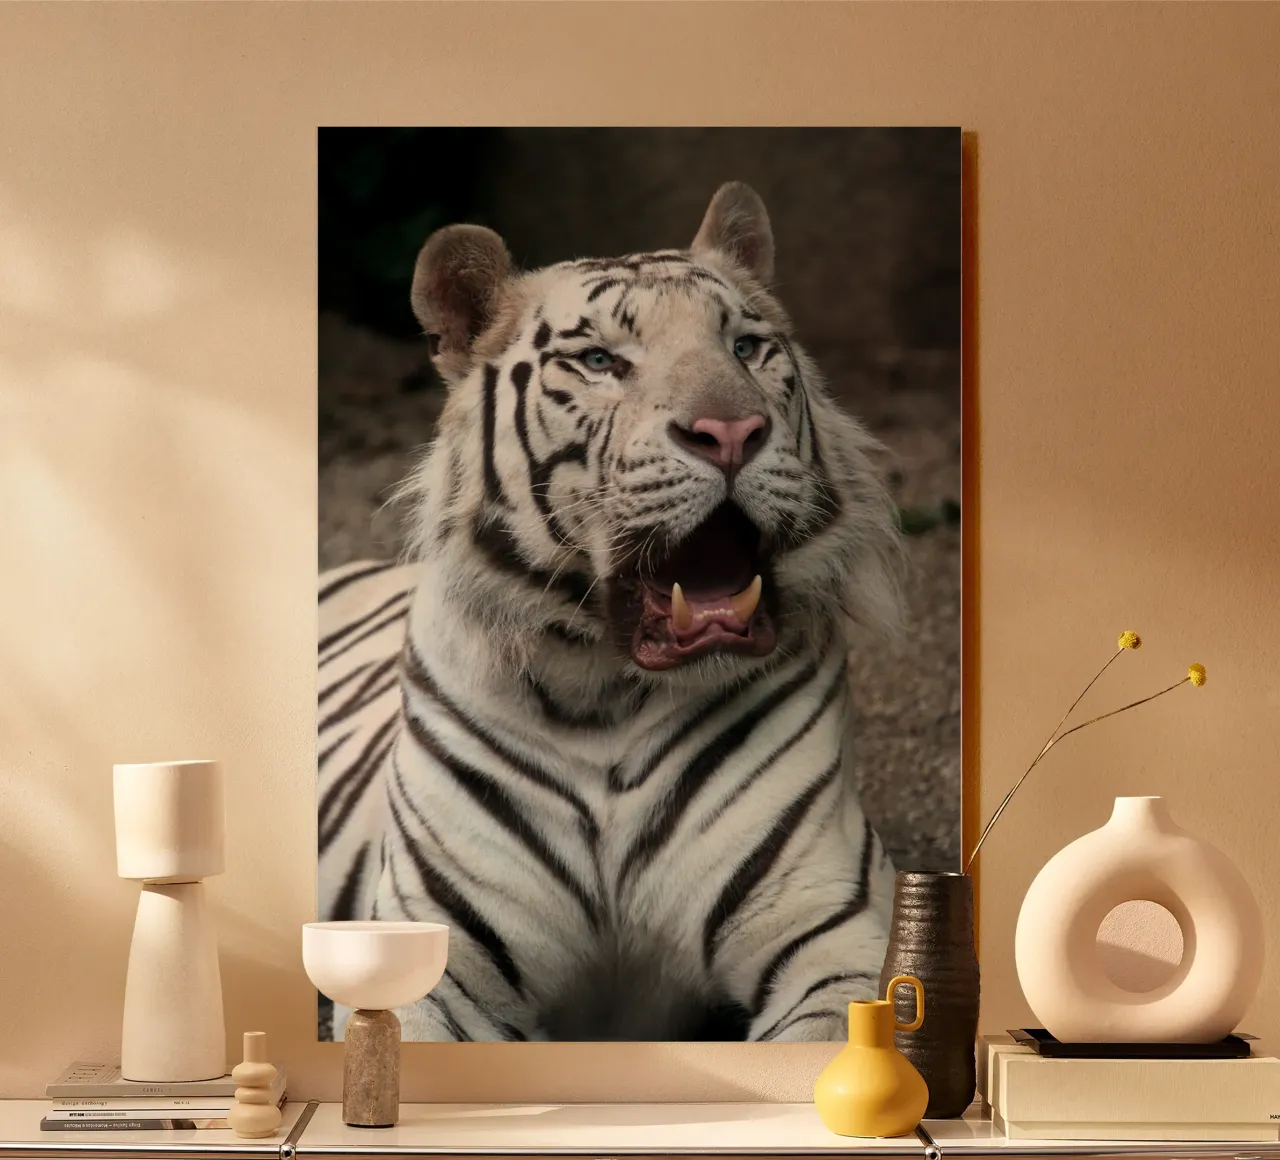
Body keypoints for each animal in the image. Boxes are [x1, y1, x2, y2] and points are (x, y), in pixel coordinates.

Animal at [317, 181, 905, 1043]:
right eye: (601, 361)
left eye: (746, 347)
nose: (732, 431)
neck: (602, 693)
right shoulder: (440, 954)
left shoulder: (834, 926)